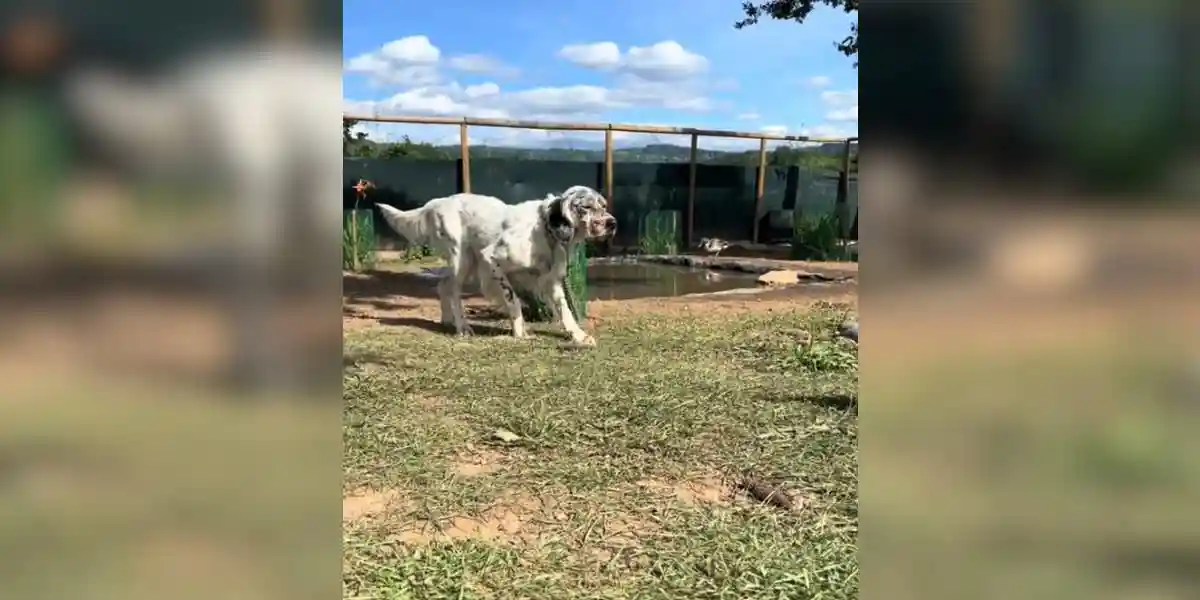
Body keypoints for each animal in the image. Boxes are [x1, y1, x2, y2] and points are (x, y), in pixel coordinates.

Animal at [374, 187, 619, 348]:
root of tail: (437, 202)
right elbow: (514, 301)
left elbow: (565, 311)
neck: (545, 229)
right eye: (586, 207)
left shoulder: (550, 281)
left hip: (467, 263)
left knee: (443, 285)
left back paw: (448, 320)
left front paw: (579, 336)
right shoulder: (492, 260)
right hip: (463, 258)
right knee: (452, 290)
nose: (612, 223)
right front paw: (520, 333)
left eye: (604, 206)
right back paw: (463, 327)